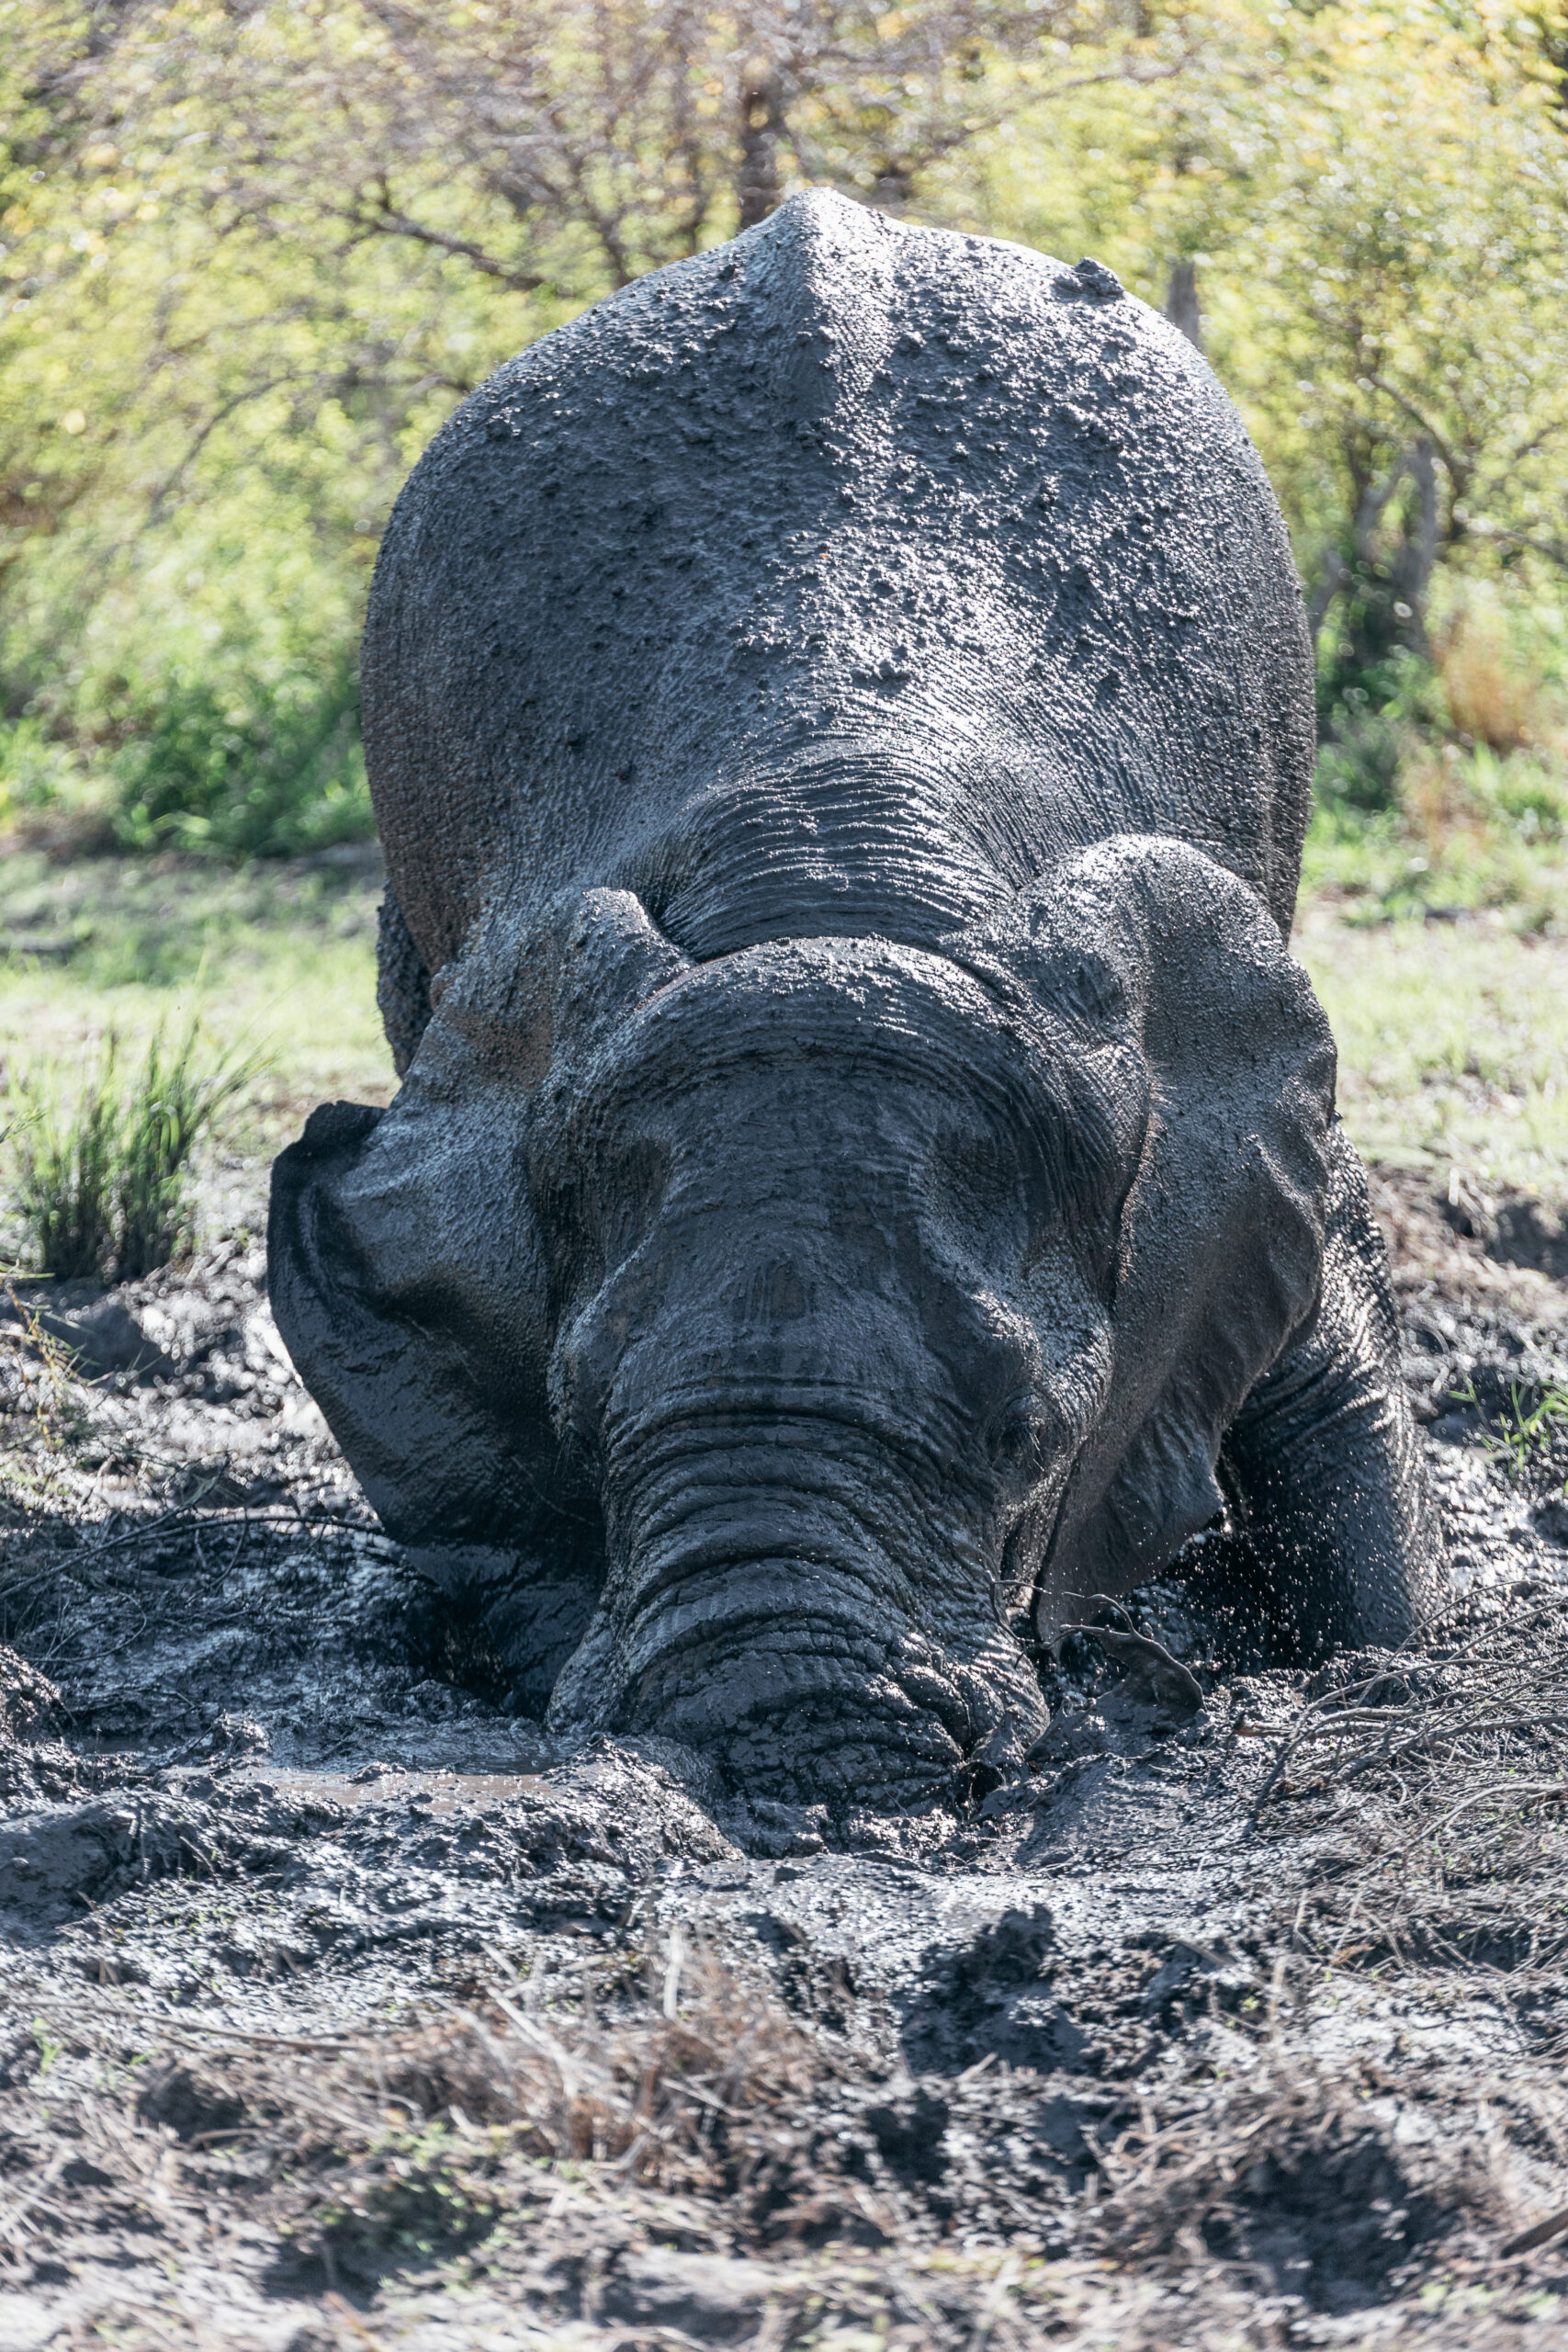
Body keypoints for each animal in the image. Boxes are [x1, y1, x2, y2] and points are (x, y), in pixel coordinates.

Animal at [269, 188, 1440, 1821]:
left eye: (1028, 1434)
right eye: (580, 1417)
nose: (792, 1771)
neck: (836, 866)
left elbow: (1334, 1410)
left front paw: (1391, 1685)